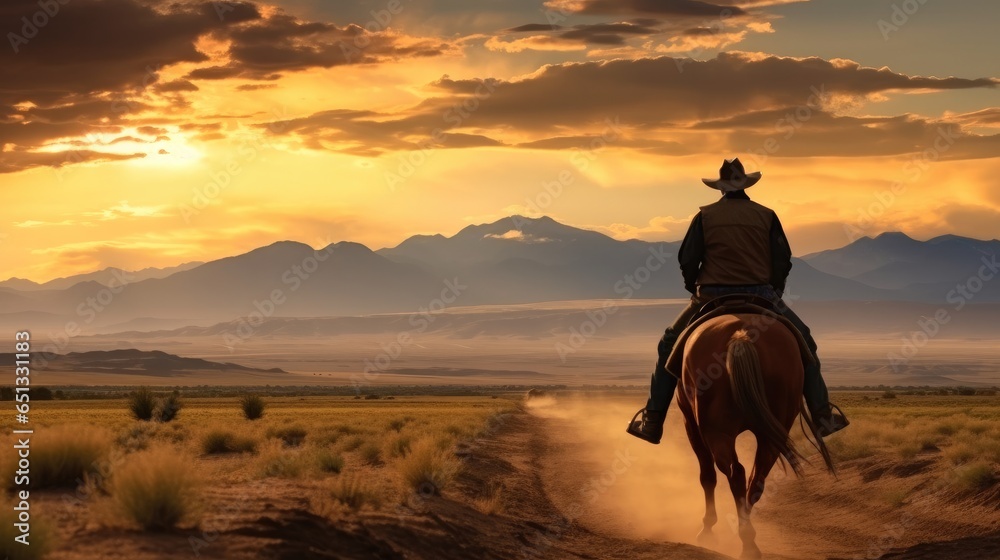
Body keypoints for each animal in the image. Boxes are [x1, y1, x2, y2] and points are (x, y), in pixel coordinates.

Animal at [676, 312, 832, 556]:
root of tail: (741, 334)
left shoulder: (690, 423)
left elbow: (707, 477)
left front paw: (707, 529)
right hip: (772, 432)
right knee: (755, 479)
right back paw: (748, 538)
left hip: (717, 432)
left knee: (735, 473)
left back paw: (743, 538)